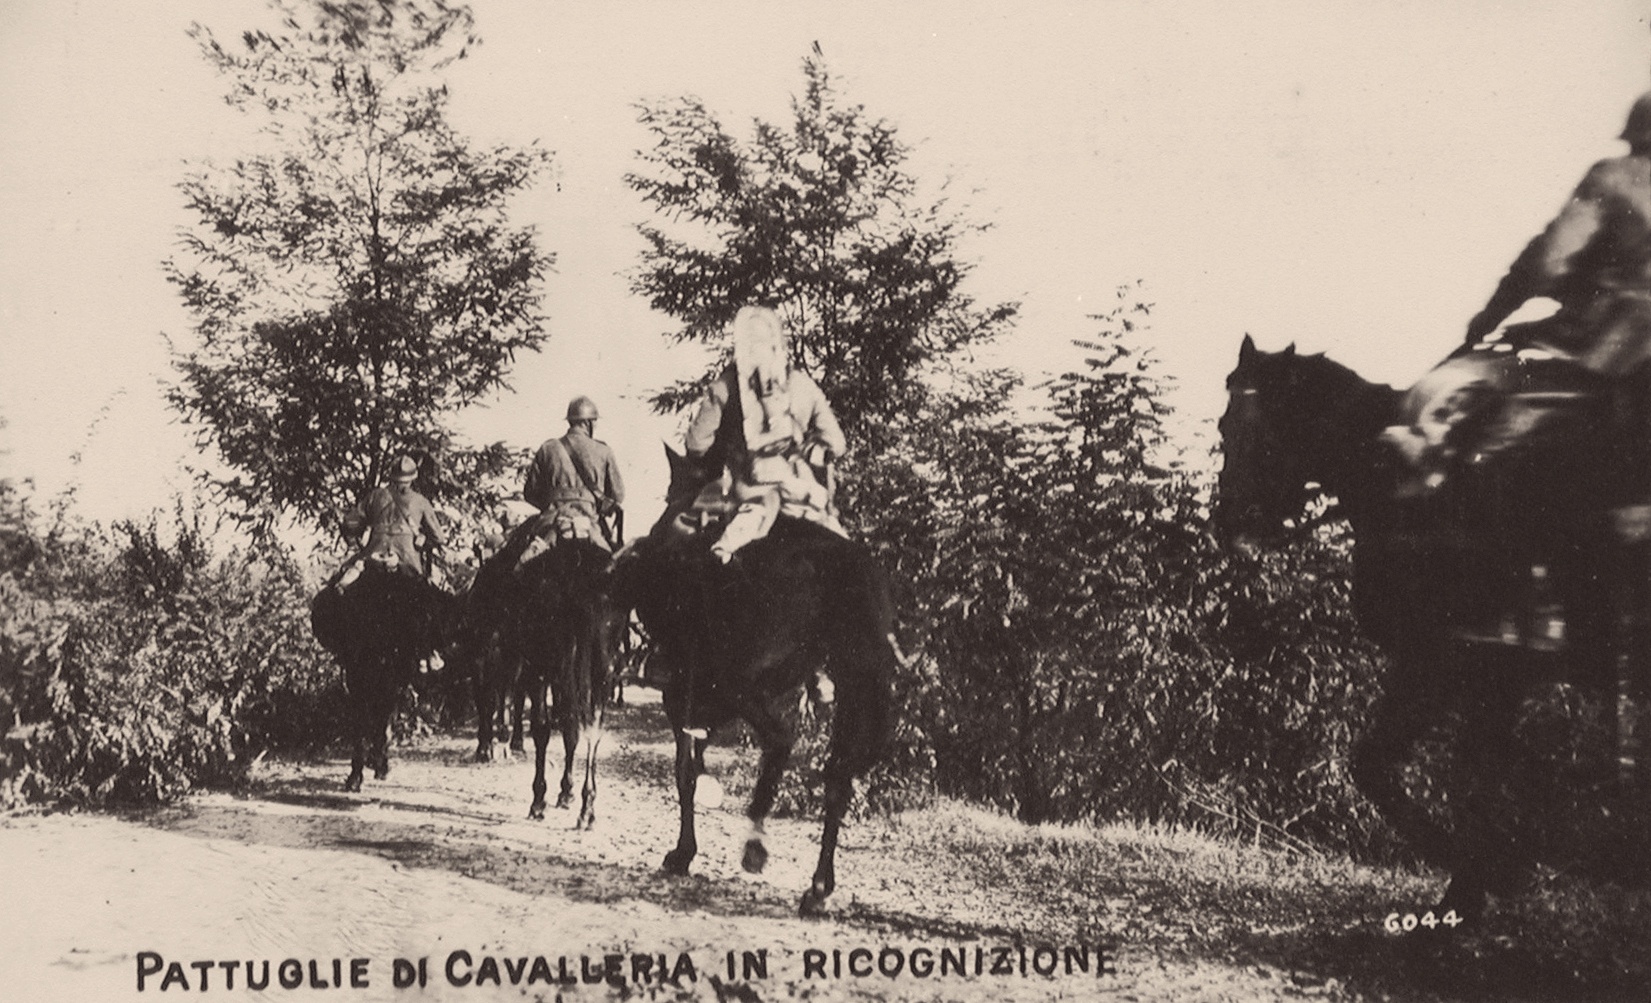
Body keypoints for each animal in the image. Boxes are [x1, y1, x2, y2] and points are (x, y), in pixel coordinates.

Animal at [310, 564, 458, 791]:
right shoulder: (357, 680)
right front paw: (355, 776)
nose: (431, 662)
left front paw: (379, 764)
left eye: (431, 616)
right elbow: (362, 725)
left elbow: (382, 724)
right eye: (420, 615)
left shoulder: (392, 684)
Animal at [617, 445, 904, 917]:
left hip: (743, 685)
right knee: (837, 776)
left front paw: (682, 853)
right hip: (849, 687)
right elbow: (691, 766)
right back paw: (816, 887)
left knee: (782, 740)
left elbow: (686, 772)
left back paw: (756, 846)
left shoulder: (686, 697)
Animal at [1215, 334, 1637, 923]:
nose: (1230, 524)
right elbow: (1395, 767)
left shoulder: (1467, 672)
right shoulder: (1439, 671)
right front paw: (1489, 875)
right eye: (1224, 427)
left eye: (1271, 433)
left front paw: (1481, 880)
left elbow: (1466, 778)